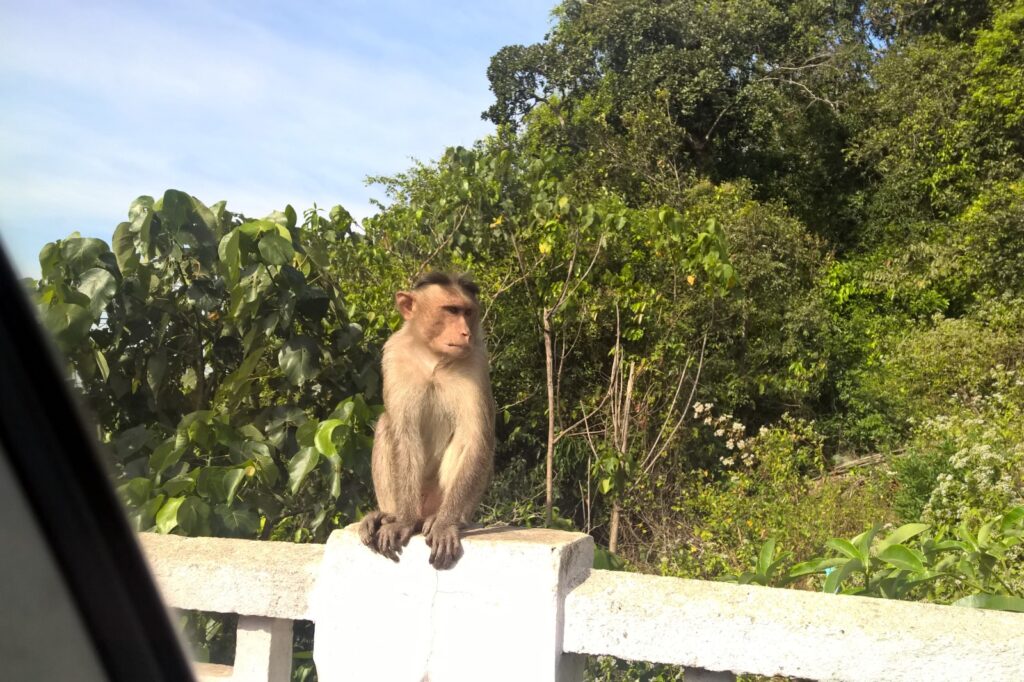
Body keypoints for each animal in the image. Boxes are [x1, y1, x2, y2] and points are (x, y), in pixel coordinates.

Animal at [358, 272, 495, 569]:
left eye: (468, 312)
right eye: (451, 310)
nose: (466, 333)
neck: (433, 357)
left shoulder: (477, 359)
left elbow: (475, 438)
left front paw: (445, 525)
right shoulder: (394, 355)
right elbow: (403, 433)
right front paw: (403, 521)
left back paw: (445, 520)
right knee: (386, 424)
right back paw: (386, 515)